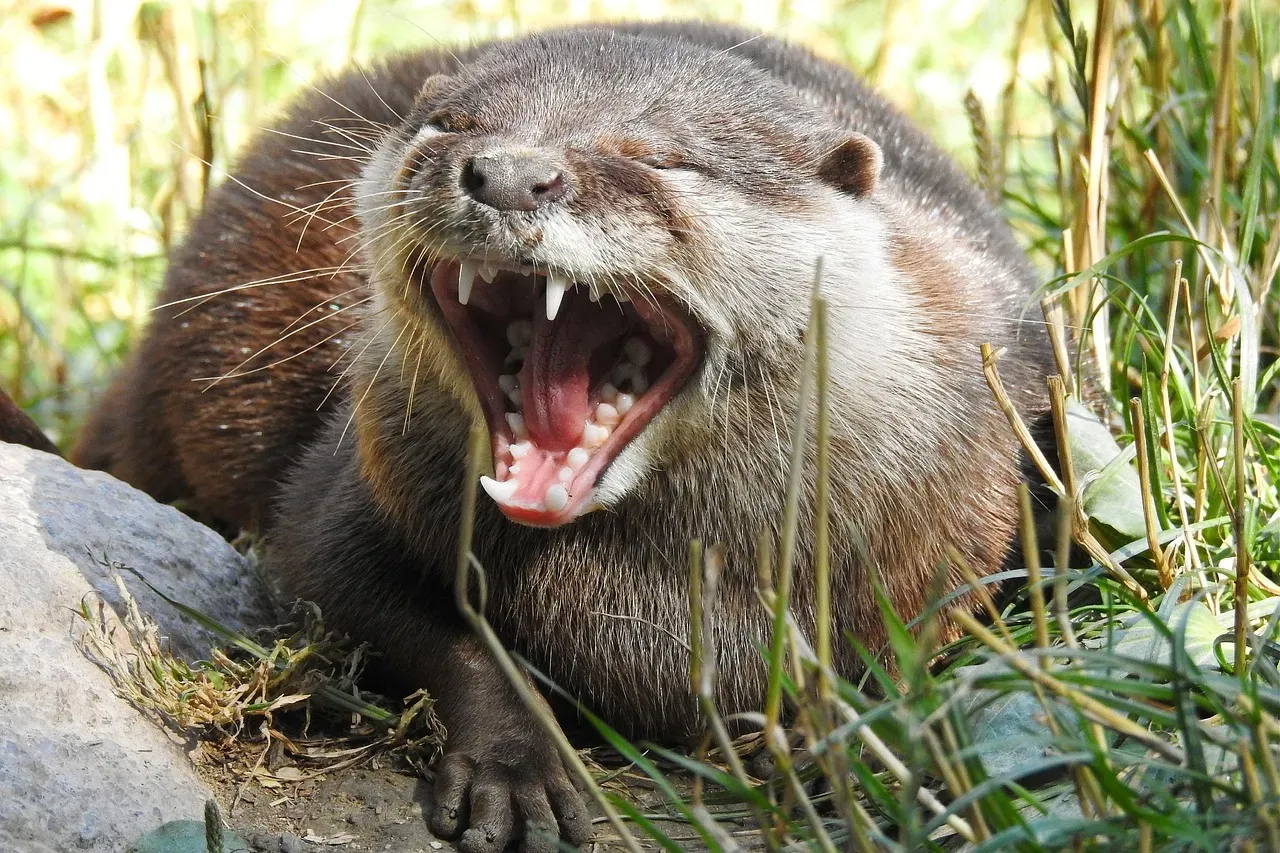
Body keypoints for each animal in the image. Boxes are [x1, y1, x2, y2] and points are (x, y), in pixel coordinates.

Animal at [73, 22, 1056, 852]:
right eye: (451, 125)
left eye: (661, 158)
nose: (508, 173)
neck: (644, 602)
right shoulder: (351, 490)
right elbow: (374, 595)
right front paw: (513, 765)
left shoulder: (952, 538)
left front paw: (875, 754)